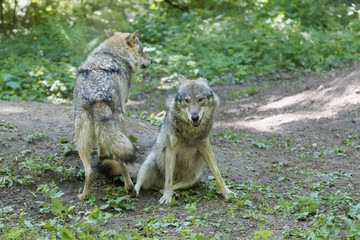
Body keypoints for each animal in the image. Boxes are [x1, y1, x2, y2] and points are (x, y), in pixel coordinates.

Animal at [74, 29, 151, 201]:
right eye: (142, 51)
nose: (151, 61)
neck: (111, 53)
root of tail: (97, 95)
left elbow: (101, 143)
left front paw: (102, 156)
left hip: (80, 140)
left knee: (90, 172)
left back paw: (83, 196)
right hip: (120, 127)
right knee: (122, 164)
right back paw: (130, 189)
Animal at [134, 75, 235, 204]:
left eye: (200, 99)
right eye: (187, 101)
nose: (195, 117)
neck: (190, 132)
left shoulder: (206, 149)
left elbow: (218, 175)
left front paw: (227, 193)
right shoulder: (171, 150)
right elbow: (168, 180)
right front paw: (166, 197)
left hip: (195, 177)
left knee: (164, 187)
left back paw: (173, 193)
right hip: (149, 163)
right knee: (142, 183)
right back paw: (133, 191)